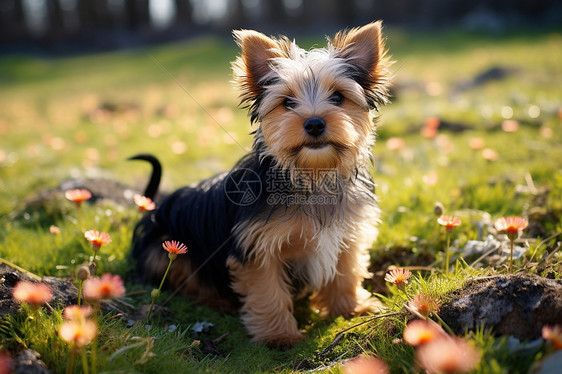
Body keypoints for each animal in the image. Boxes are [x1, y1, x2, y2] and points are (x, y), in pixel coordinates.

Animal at [130, 21, 390, 348]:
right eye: (287, 103)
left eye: (338, 98)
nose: (314, 123)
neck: (311, 174)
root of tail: (153, 211)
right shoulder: (258, 246)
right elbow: (267, 290)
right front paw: (279, 335)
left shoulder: (347, 233)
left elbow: (345, 271)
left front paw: (350, 308)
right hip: (167, 248)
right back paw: (216, 300)